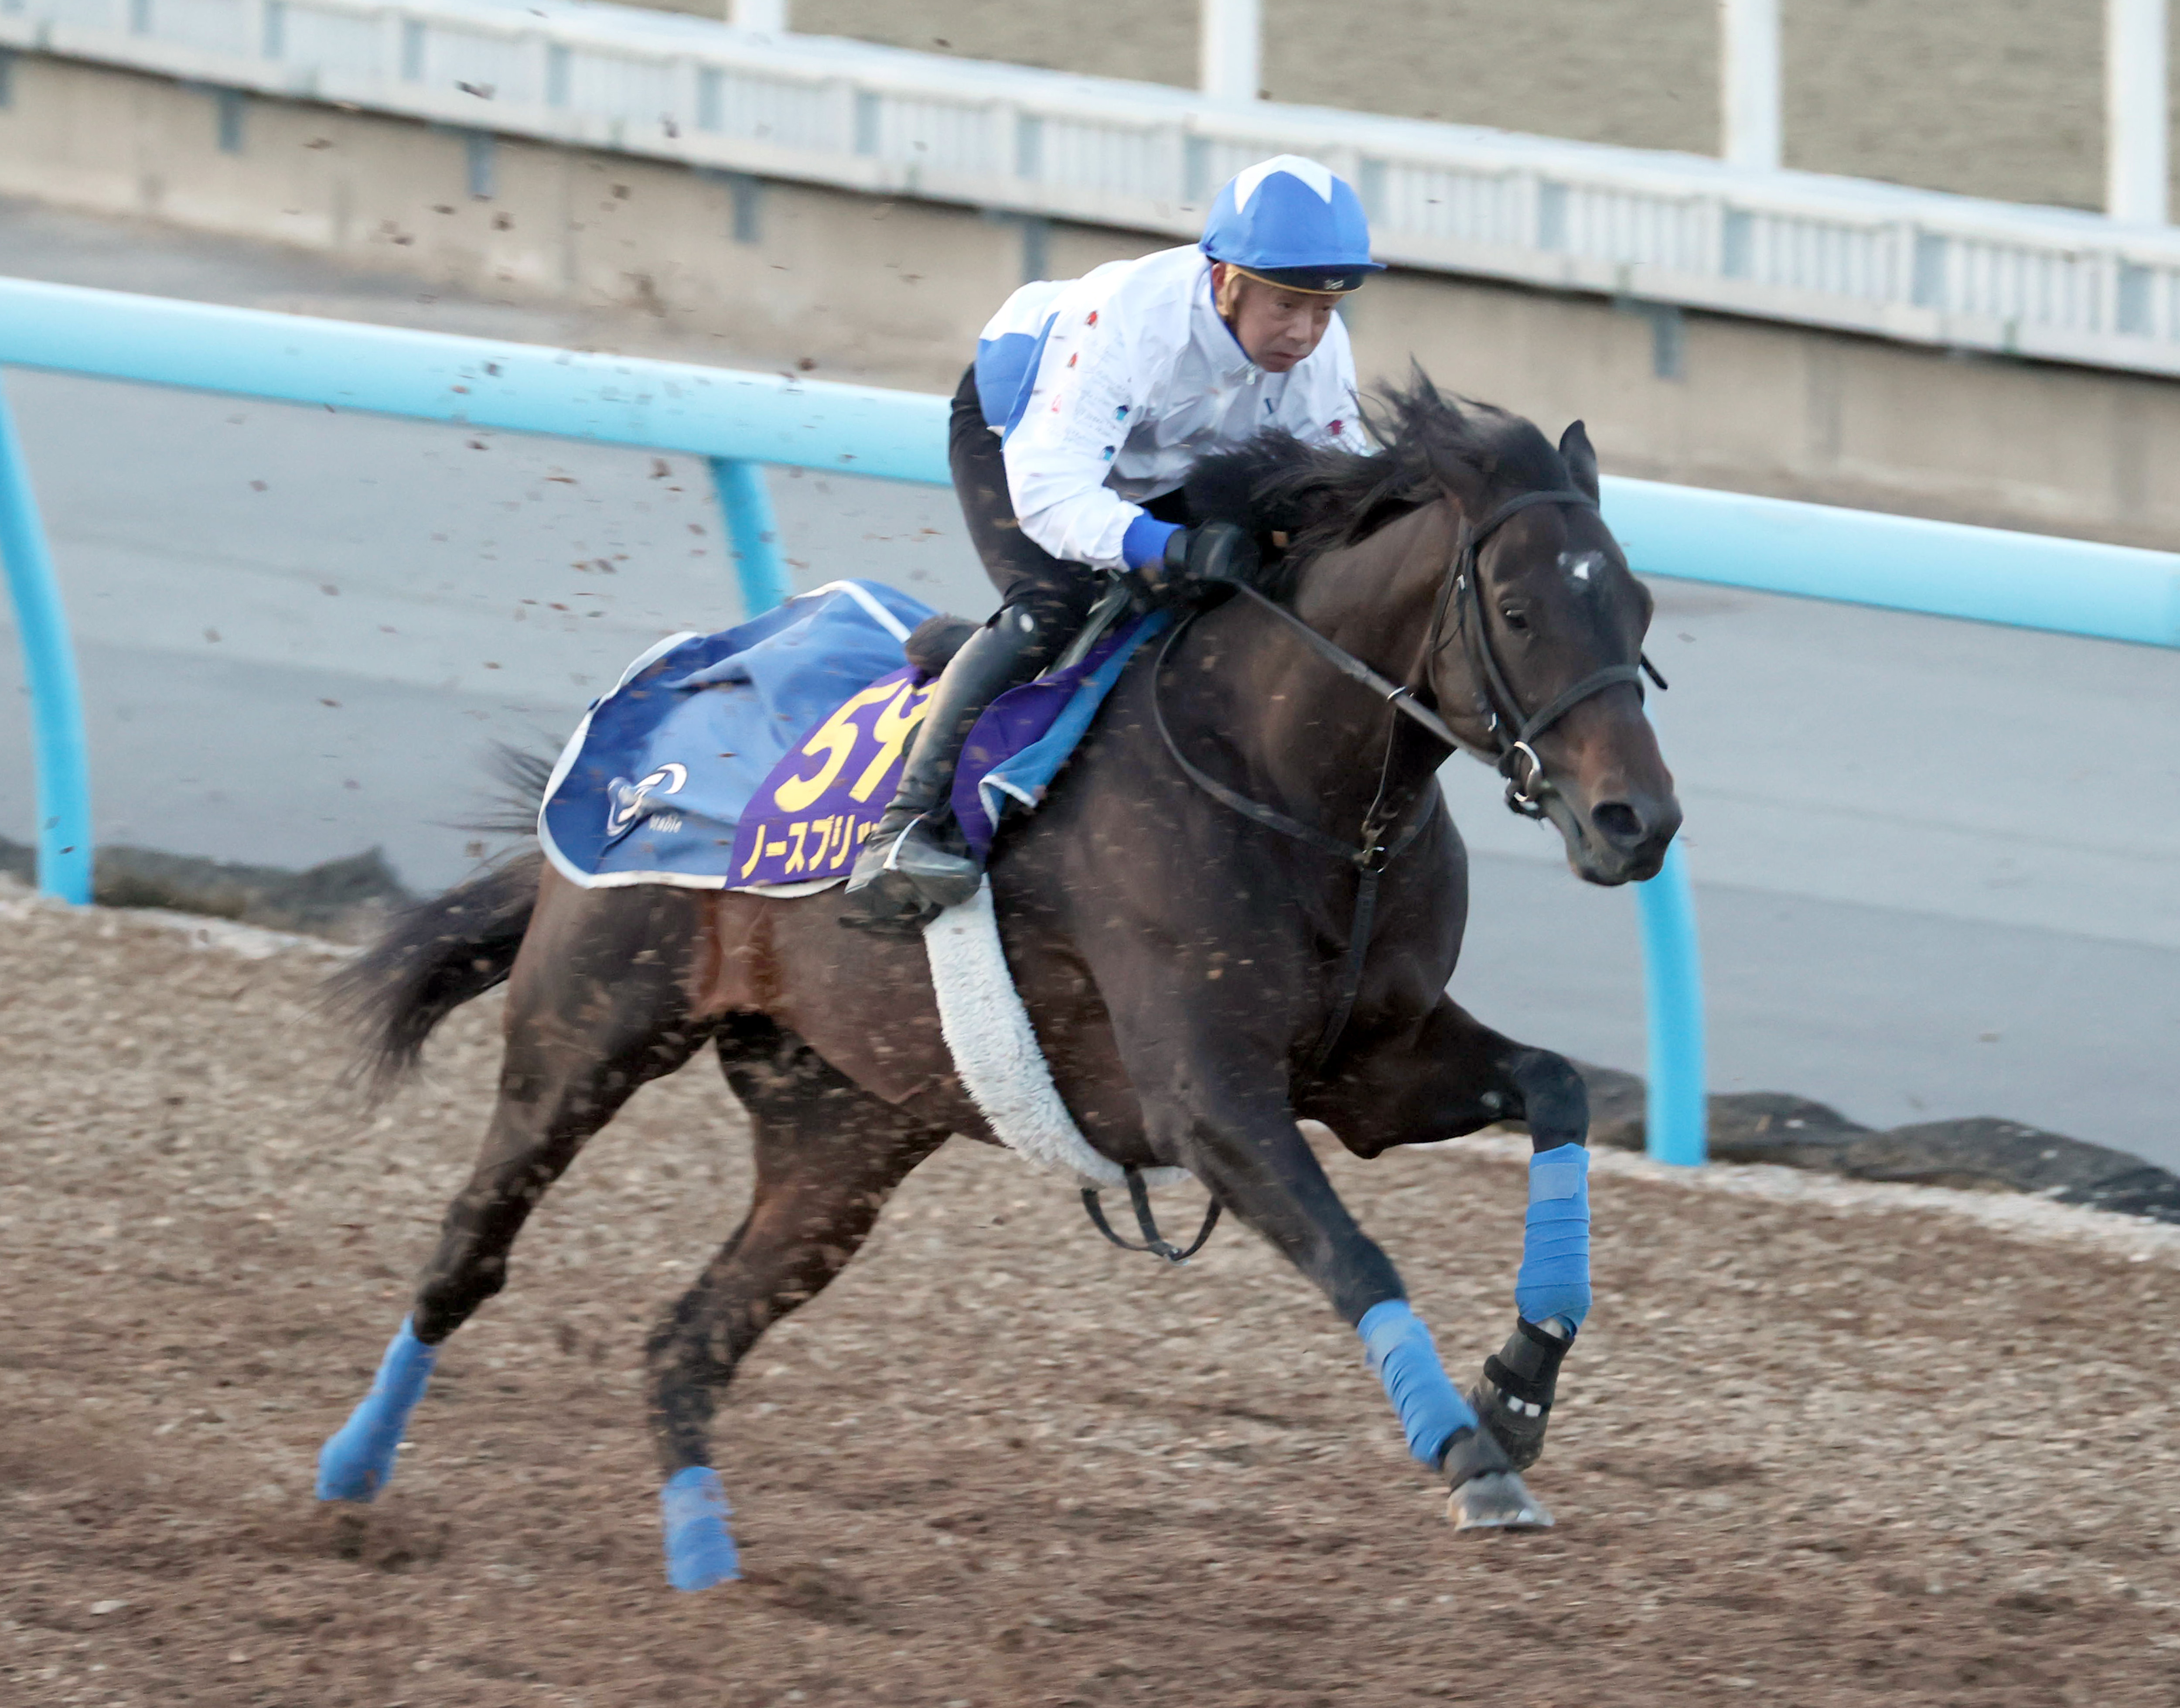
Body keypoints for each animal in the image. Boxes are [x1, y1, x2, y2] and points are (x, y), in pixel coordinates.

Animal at [318, 375, 1683, 1588]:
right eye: (1516, 608)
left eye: (1639, 606)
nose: (1638, 821)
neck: (1292, 786)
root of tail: (637, 724)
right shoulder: (1210, 1098)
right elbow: (1356, 1256)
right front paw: (1467, 1455)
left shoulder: (1370, 1071)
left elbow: (1555, 1090)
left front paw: (1516, 1388)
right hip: (587, 1032)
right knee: (470, 1252)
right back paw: (348, 1483)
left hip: (840, 1137)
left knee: (685, 1341)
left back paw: (710, 1567)